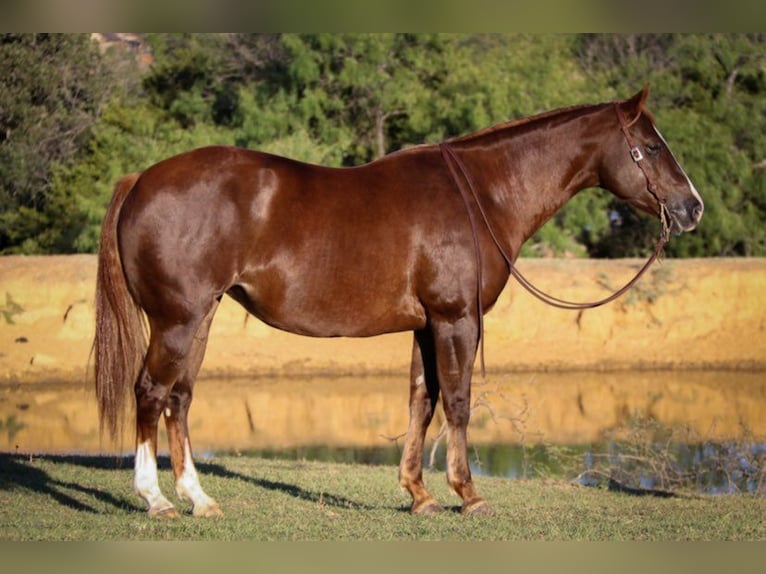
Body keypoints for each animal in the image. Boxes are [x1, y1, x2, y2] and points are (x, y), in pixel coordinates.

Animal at [94, 86, 704, 520]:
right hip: (176, 321)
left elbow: (421, 400)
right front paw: (468, 494)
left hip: (200, 318)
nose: (692, 207)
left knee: (180, 398)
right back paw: (156, 499)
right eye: (652, 147)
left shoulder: (427, 324)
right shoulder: (456, 320)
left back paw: (199, 499)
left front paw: (419, 494)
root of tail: (141, 179)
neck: (481, 195)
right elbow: (457, 402)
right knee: (150, 393)